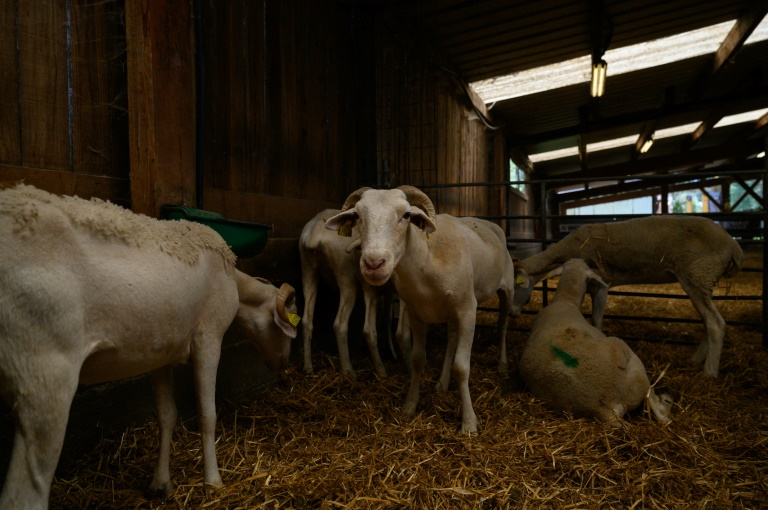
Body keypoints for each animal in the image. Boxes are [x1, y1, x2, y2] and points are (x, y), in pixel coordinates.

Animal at [0, 185, 300, 508]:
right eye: (287, 327)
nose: (284, 365)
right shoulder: (208, 339)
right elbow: (207, 415)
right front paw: (213, 483)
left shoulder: (161, 353)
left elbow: (166, 416)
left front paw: (161, 484)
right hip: (46, 372)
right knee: (25, 494)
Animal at [298, 207, 400, 378]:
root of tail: (314, 234)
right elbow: (387, 319)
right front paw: (392, 352)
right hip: (346, 277)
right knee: (340, 324)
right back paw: (349, 372)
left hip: (308, 271)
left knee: (306, 320)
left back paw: (308, 367)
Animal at [320, 185, 524, 432]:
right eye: (358, 216)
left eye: (406, 215)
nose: (373, 264)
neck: (426, 261)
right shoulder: (417, 313)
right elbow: (418, 359)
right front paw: (410, 405)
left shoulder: (468, 310)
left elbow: (461, 367)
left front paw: (468, 423)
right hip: (449, 311)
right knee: (452, 338)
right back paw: (442, 383)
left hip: (507, 289)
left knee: (502, 325)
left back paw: (502, 364)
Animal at [510, 215, 744, 378]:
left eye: (516, 285)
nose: (513, 313)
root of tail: (734, 246)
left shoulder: (602, 281)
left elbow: (597, 319)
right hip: (701, 281)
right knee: (708, 322)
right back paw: (696, 360)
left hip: (697, 276)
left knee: (716, 323)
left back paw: (710, 372)